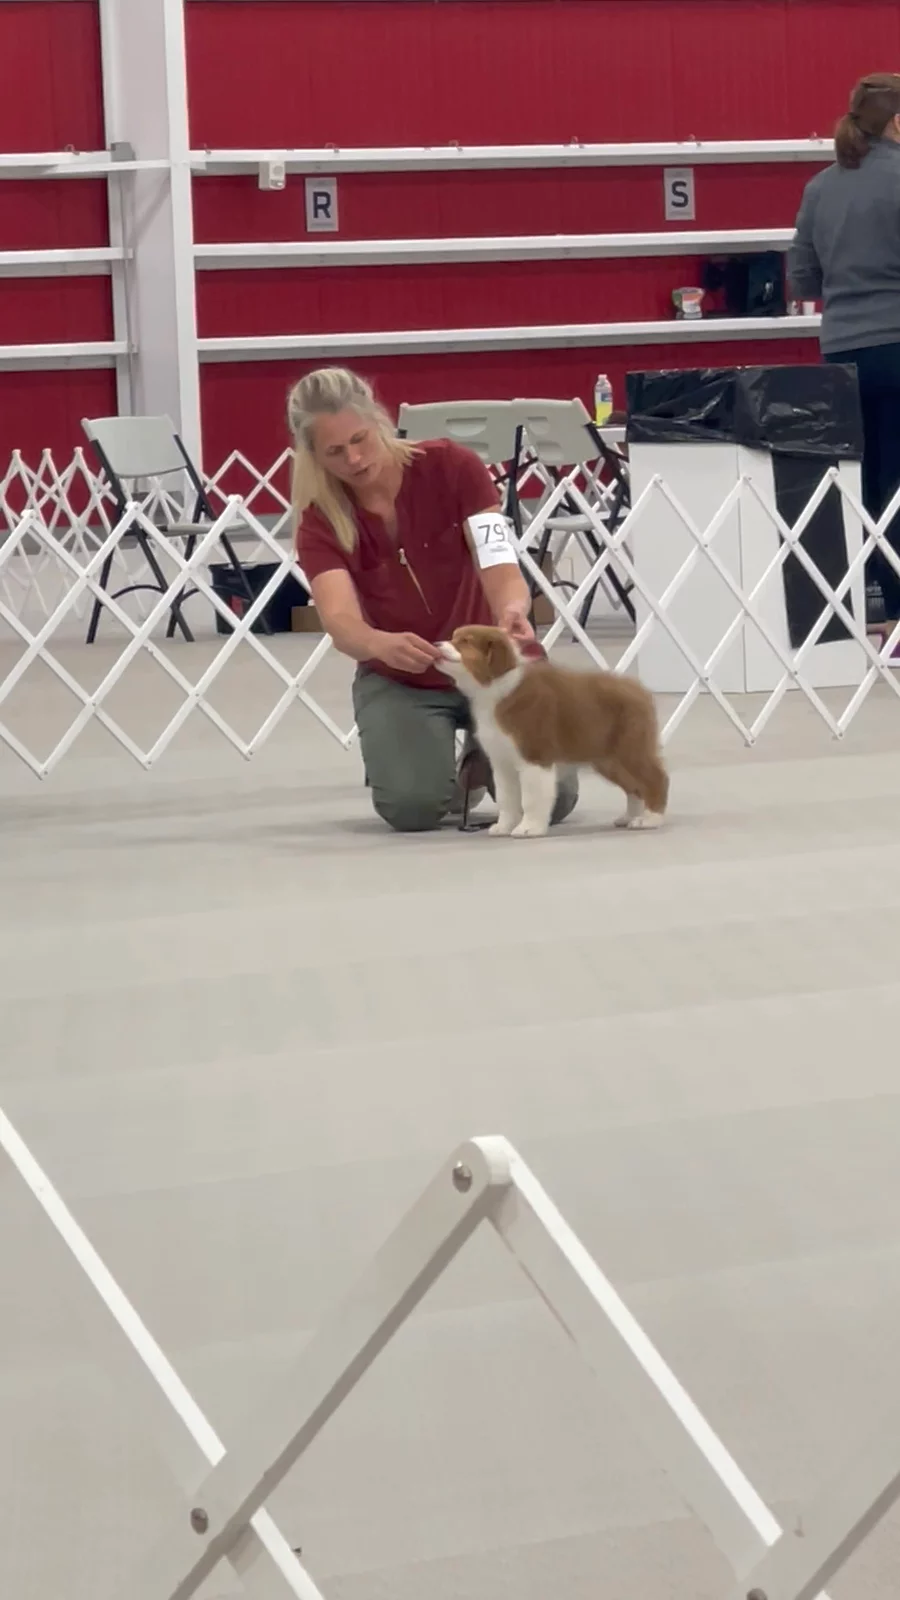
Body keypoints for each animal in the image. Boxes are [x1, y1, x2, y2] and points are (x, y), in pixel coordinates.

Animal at [436, 625, 668, 839]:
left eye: (465, 641)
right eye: (454, 636)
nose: (436, 644)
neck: (495, 688)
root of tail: (639, 689)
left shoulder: (534, 756)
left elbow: (530, 798)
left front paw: (528, 828)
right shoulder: (501, 762)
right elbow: (507, 798)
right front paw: (503, 827)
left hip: (630, 750)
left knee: (656, 779)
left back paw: (650, 819)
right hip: (608, 760)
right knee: (634, 788)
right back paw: (630, 817)